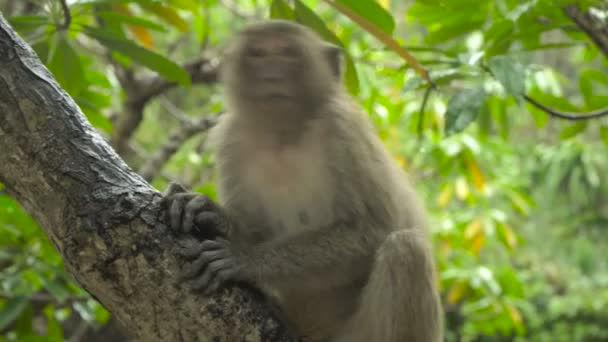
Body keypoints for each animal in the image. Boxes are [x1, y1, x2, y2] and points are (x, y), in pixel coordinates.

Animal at [164, 19, 444, 342]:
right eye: (258, 53)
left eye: (287, 53)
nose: (271, 73)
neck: (283, 137)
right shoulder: (230, 138)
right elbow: (253, 223)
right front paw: (211, 213)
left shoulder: (343, 128)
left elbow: (373, 229)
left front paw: (244, 257)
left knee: (406, 249)